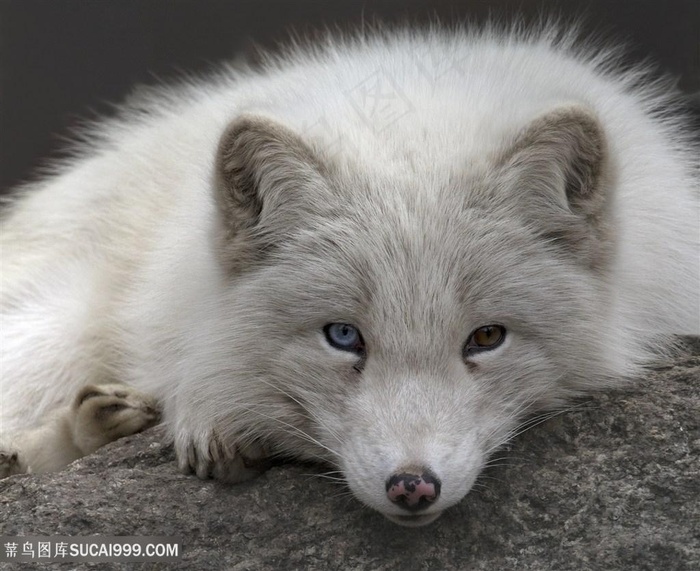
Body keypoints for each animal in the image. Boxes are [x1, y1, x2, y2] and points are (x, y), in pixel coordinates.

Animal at [1, 25, 700, 528]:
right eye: (343, 336)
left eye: (486, 337)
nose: (413, 486)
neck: (421, 110)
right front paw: (213, 409)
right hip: (55, 329)